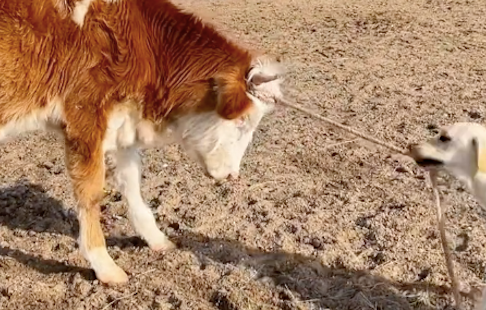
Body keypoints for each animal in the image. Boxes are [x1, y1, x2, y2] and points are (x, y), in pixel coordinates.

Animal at [0, 0, 284, 284]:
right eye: (243, 121)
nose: (233, 175)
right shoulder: (85, 119)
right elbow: (90, 193)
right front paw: (105, 266)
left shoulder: (122, 123)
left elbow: (132, 184)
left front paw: (157, 240)